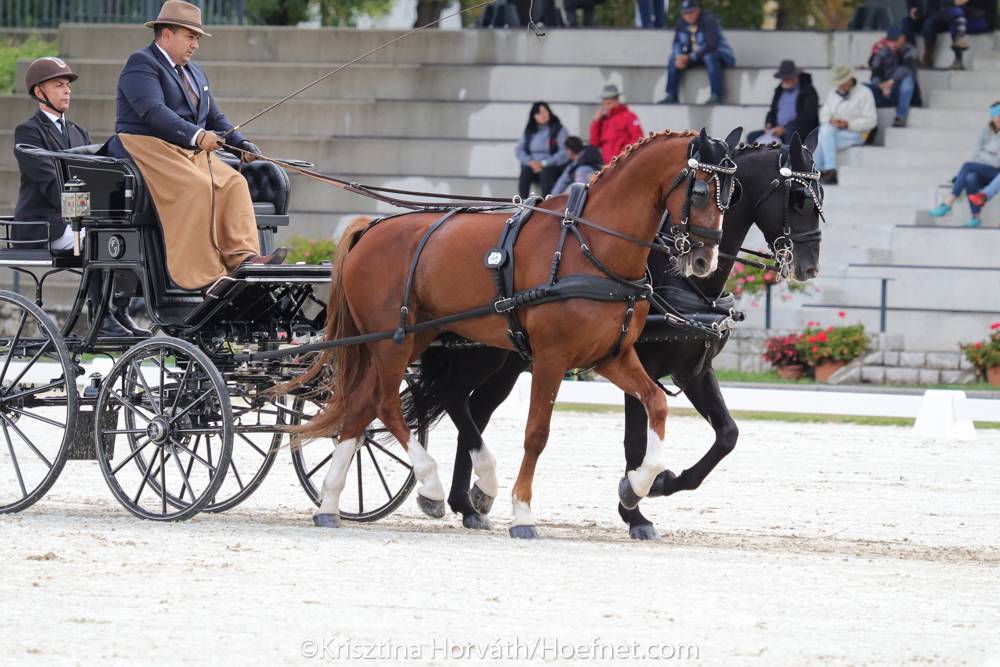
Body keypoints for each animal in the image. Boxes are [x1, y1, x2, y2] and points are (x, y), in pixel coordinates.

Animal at [285, 127, 743, 538]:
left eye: (733, 193)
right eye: (701, 193)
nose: (705, 260)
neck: (590, 247)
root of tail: (371, 227)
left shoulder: (614, 355)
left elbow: (657, 406)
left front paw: (638, 487)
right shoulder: (552, 359)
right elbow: (537, 434)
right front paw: (523, 512)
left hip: (415, 339)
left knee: (366, 404)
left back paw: (331, 503)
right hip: (394, 340)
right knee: (386, 402)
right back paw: (433, 486)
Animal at [403, 130, 824, 536]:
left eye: (821, 194)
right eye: (799, 199)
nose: (809, 267)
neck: (682, 281)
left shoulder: (693, 371)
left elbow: (727, 435)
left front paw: (661, 484)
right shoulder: (642, 364)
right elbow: (635, 442)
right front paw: (636, 506)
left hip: (507, 364)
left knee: (472, 410)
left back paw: (469, 503)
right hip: (482, 355)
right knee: (457, 400)